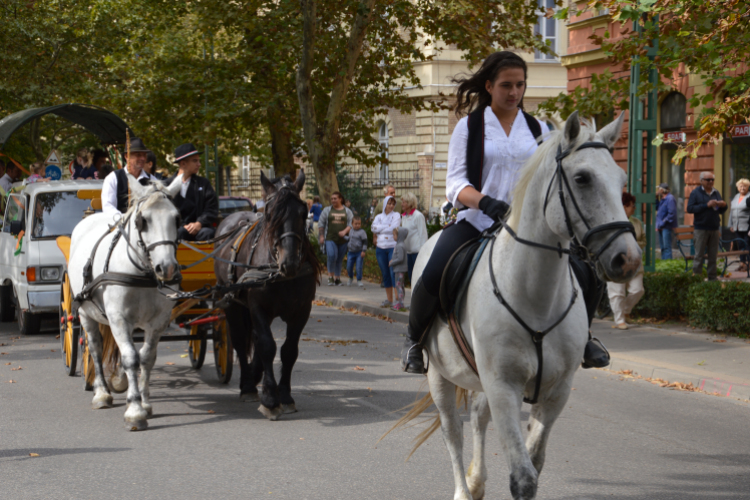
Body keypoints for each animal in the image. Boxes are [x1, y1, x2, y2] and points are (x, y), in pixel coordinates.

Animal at [69, 175, 185, 430]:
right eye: (143, 220)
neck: (141, 271)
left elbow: (146, 358)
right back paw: (101, 392)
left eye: (177, 218)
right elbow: (131, 358)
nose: (167, 268)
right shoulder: (119, 319)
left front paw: (145, 402)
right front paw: (135, 410)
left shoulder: (158, 321)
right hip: (85, 313)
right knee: (95, 347)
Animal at [216, 170, 324, 420]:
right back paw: (247, 384)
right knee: (239, 339)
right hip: (233, 304)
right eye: (271, 213)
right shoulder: (258, 307)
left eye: (303, 212)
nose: (290, 262)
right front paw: (270, 399)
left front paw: (284, 396)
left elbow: (288, 351)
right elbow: (267, 346)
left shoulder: (302, 311)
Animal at [396, 111, 644, 498]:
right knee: (452, 431)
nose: (627, 259)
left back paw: (476, 481)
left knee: (478, 416)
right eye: (582, 178)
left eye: (620, 180)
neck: (535, 296)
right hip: (440, 375)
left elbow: (534, 461)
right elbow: (523, 476)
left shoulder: (556, 391)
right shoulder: (503, 386)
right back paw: (463, 488)